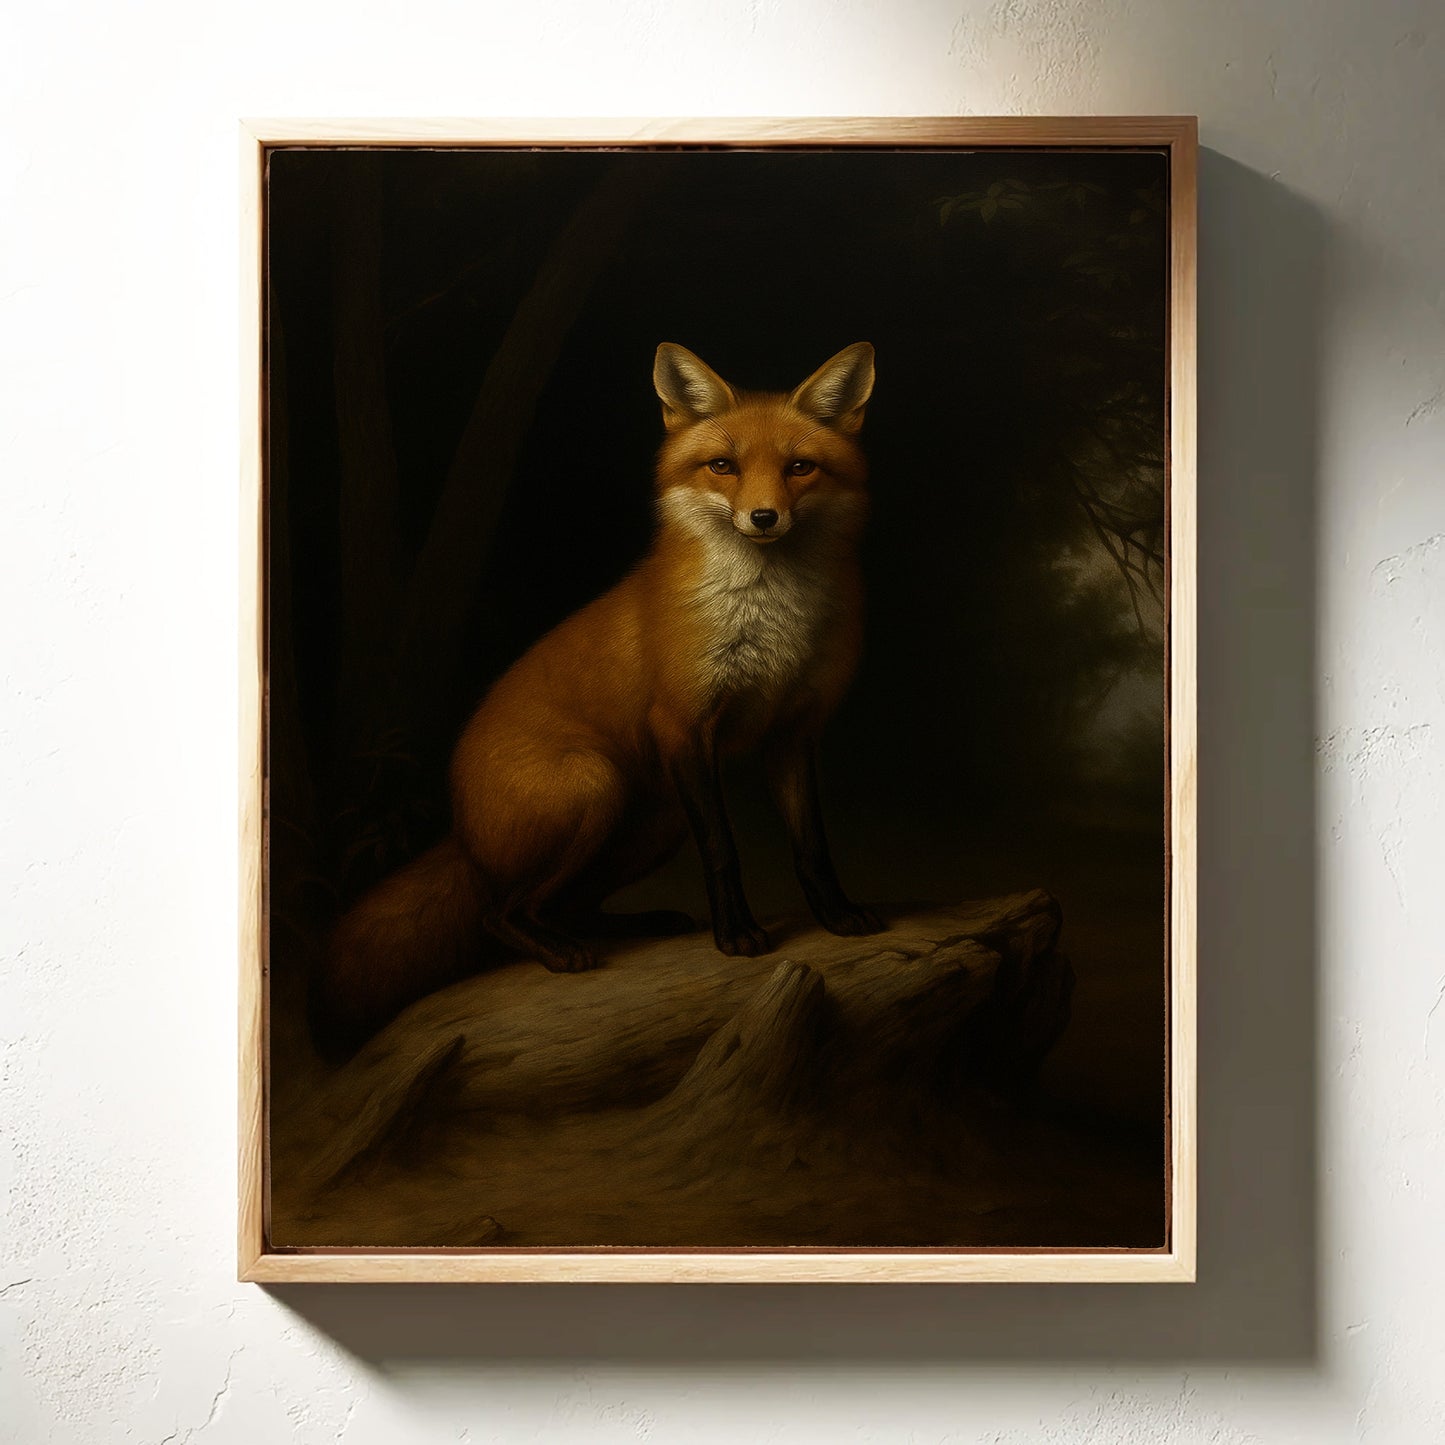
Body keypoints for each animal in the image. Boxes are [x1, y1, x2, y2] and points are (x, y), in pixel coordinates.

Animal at [315, 340, 885, 1051]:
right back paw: (559, 949)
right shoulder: (682, 726)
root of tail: (464, 833)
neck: (772, 624)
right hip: (595, 786)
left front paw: (837, 915)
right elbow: (723, 850)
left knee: (568, 903)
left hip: (656, 819)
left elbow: (812, 845)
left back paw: (633, 924)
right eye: (722, 466)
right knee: (500, 913)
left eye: (800, 467)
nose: (763, 517)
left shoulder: (792, 731)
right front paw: (736, 935)